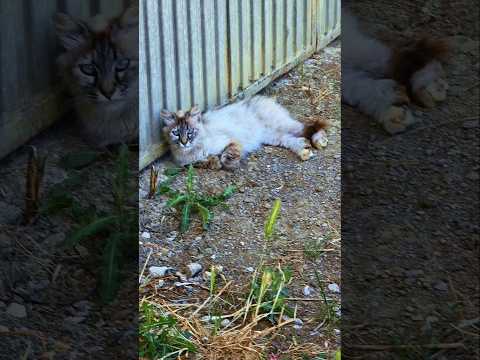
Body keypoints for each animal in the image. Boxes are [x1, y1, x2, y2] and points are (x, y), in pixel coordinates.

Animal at [159, 95, 328, 169]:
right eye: (176, 133)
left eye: (190, 132)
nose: (184, 142)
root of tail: (265, 98)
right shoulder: (187, 163)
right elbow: (203, 162)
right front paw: (213, 162)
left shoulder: (230, 140)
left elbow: (226, 156)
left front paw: (229, 162)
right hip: (274, 137)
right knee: (295, 140)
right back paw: (304, 151)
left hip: (282, 125)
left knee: (310, 126)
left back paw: (320, 141)